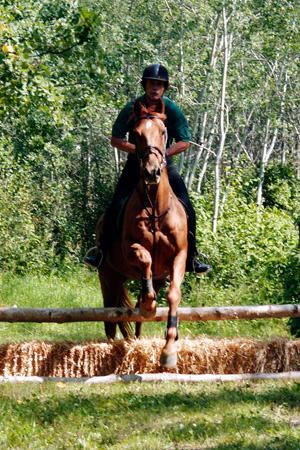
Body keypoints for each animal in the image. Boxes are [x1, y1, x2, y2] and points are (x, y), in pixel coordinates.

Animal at [97, 97, 188, 366]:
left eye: (164, 132)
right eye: (136, 134)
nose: (151, 172)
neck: (156, 208)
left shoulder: (180, 256)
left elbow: (173, 295)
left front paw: (169, 351)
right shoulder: (131, 249)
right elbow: (145, 258)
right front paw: (149, 306)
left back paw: (136, 340)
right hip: (108, 275)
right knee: (110, 316)